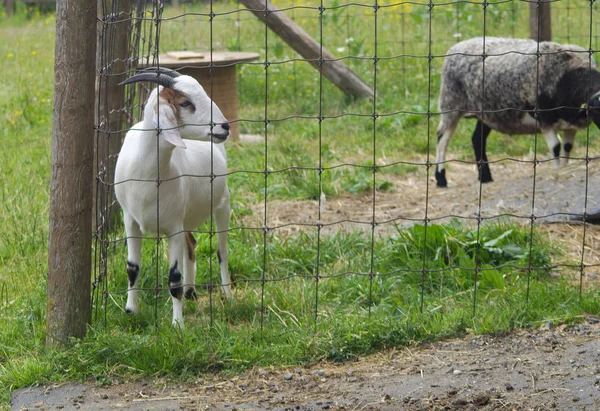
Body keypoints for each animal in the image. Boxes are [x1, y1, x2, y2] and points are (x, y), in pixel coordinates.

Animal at [113, 68, 233, 328]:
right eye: (185, 103)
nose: (224, 127)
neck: (147, 176)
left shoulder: (173, 229)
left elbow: (174, 277)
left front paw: (178, 325)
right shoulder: (131, 221)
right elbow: (132, 267)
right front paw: (131, 311)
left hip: (223, 205)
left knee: (222, 251)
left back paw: (227, 294)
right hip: (186, 218)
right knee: (192, 246)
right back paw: (190, 292)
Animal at [434, 37, 600, 188]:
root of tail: (458, 45)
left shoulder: (570, 125)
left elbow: (567, 148)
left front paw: (565, 168)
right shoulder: (545, 119)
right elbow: (556, 147)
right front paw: (557, 171)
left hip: (486, 113)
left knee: (477, 139)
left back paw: (485, 178)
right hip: (450, 105)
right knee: (442, 139)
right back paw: (441, 178)